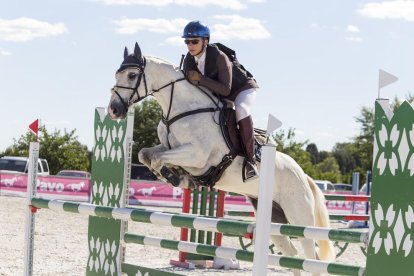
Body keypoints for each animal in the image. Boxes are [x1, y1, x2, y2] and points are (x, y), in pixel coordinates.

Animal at [107, 42, 336, 274]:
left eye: (132, 75)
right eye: (117, 74)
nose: (113, 110)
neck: (182, 109)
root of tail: (304, 176)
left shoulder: (197, 157)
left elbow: (158, 159)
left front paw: (176, 177)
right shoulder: (169, 148)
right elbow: (146, 154)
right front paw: (177, 177)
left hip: (299, 216)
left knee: (312, 257)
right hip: (274, 219)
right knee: (292, 253)